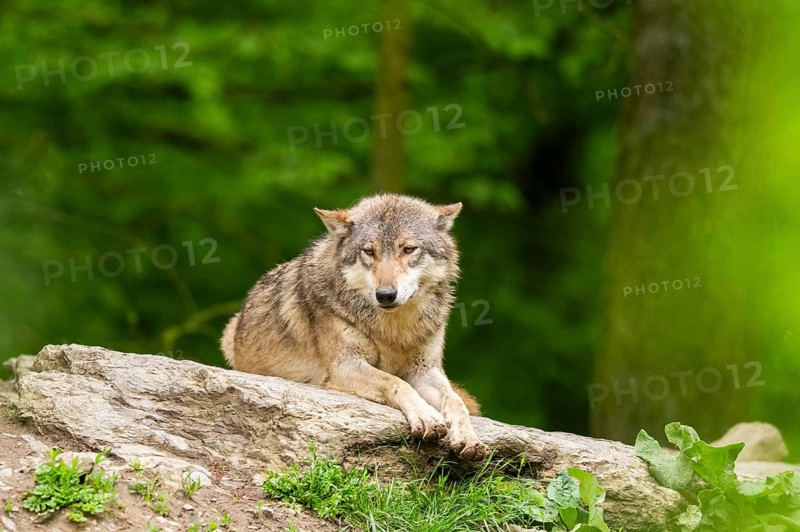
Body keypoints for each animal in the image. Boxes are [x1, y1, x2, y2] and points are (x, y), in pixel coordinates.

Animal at [221, 194, 489, 460]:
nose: (385, 295)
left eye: (408, 249)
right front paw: (426, 416)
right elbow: (395, 382)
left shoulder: (425, 369)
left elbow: (455, 400)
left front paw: (468, 437)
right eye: (369, 251)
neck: (394, 331)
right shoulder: (346, 366)